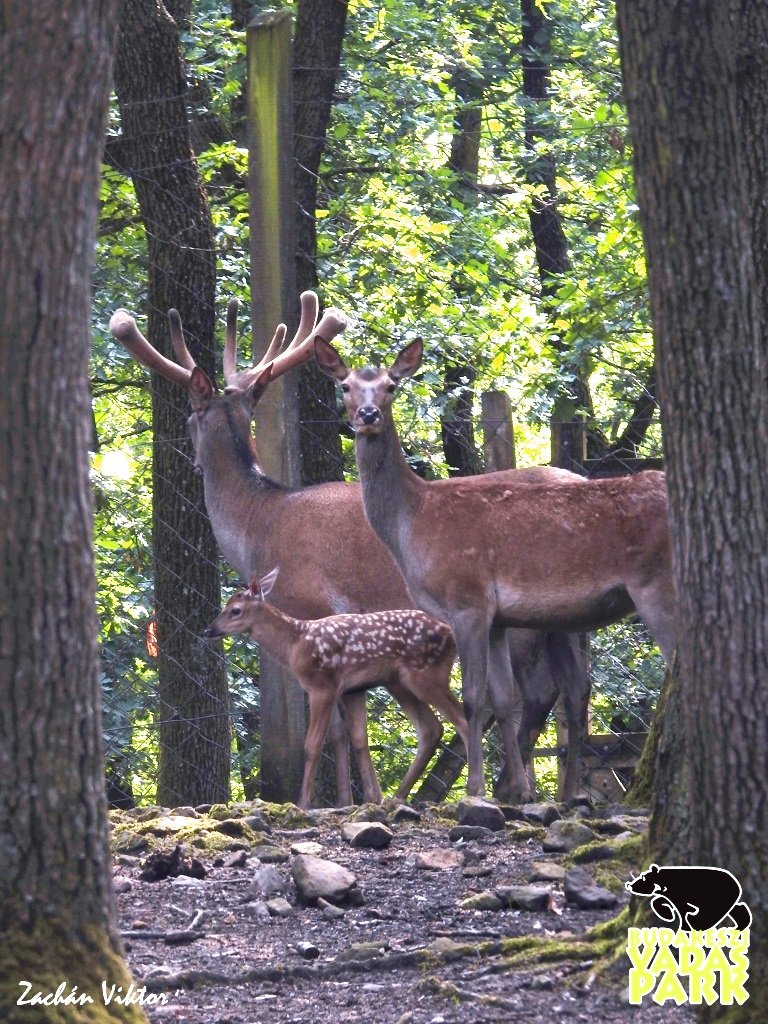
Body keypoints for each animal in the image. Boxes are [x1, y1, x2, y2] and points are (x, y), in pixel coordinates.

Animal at [204, 569, 468, 806]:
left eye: (235, 610)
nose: (209, 630)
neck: (294, 645)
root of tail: (451, 633)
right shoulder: (352, 690)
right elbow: (356, 738)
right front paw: (369, 799)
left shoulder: (322, 686)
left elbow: (312, 745)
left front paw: (303, 803)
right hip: (398, 681)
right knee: (431, 728)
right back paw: (397, 797)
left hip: (427, 675)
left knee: (461, 720)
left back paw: (472, 791)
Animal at [315, 335, 675, 798]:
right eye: (345, 386)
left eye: (391, 386)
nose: (368, 415)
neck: (411, 523)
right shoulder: (499, 620)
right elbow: (503, 699)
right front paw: (519, 790)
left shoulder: (467, 601)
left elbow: (472, 698)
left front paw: (476, 790)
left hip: (656, 583)